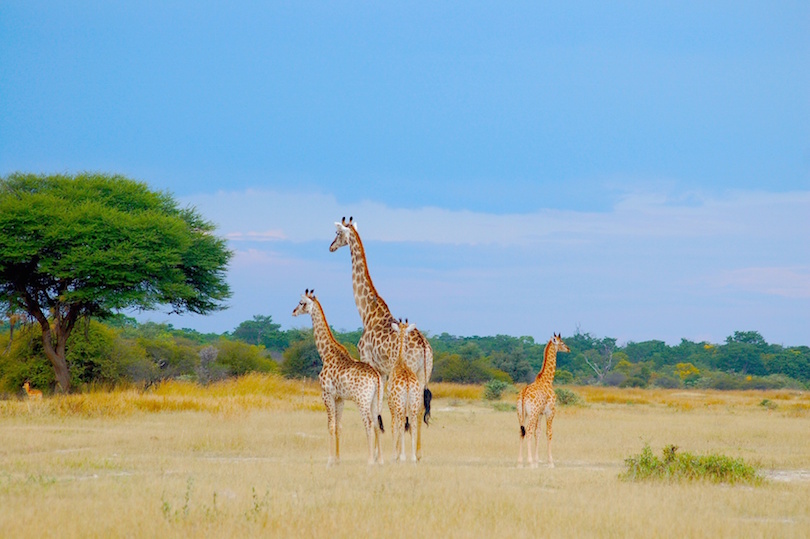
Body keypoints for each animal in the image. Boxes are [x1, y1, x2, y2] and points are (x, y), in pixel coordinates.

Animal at [294, 288, 386, 466]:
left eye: (301, 303)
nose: (293, 311)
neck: (326, 354)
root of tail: (376, 377)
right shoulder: (340, 398)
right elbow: (338, 426)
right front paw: (337, 459)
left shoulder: (327, 394)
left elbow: (330, 425)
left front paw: (330, 460)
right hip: (375, 400)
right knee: (377, 424)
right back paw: (379, 460)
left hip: (362, 400)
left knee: (369, 423)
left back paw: (370, 460)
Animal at [388, 320, 426, 464]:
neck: (400, 361)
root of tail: (409, 384)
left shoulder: (391, 406)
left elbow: (394, 427)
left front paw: (395, 455)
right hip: (414, 403)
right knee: (413, 424)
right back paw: (413, 457)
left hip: (399, 405)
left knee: (401, 424)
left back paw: (403, 456)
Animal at [516, 334, 568, 468]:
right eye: (562, 342)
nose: (568, 349)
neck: (547, 380)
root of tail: (523, 394)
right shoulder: (550, 411)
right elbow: (548, 432)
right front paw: (550, 462)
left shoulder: (540, 413)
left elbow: (538, 433)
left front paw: (537, 460)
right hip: (532, 413)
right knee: (528, 431)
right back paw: (529, 462)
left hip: (521, 413)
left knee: (521, 431)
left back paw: (520, 462)